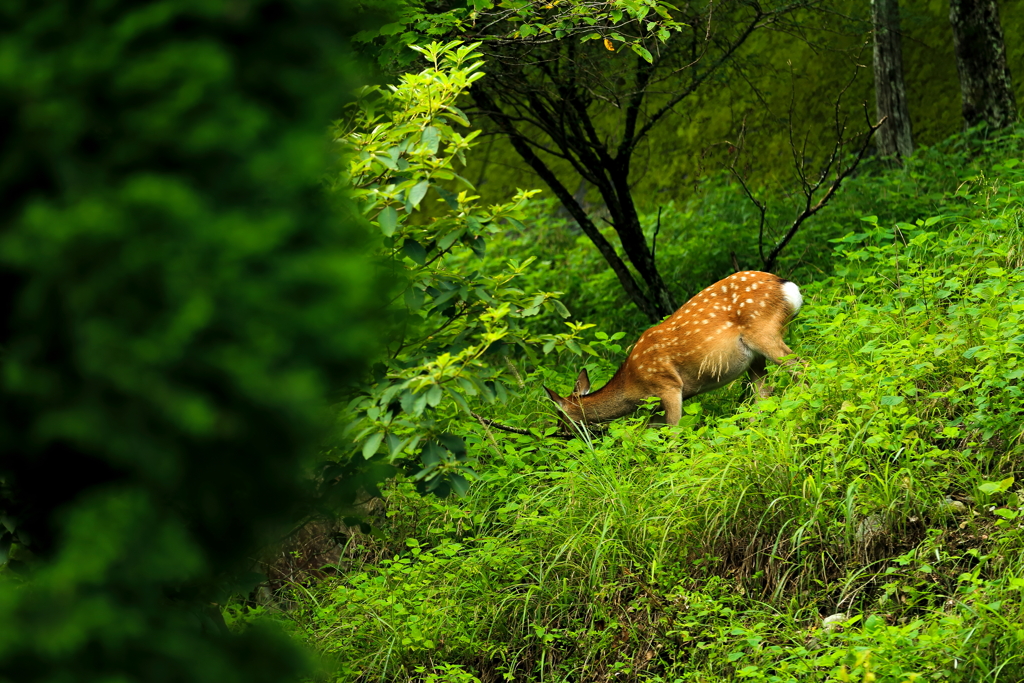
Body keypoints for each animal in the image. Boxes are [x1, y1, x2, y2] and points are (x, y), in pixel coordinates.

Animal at [548, 272, 802, 428]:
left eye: (560, 414)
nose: (560, 433)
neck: (633, 386)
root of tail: (787, 286)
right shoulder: (656, 405)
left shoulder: (668, 385)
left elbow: (672, 432)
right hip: (755, 358)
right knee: (763, 395)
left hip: (763, 332)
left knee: (801, 367)